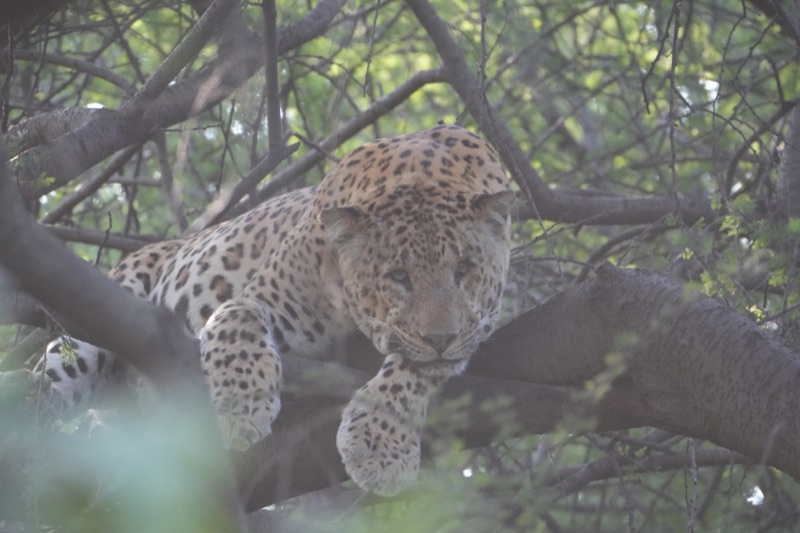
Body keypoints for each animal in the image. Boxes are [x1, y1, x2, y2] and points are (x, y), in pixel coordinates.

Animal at [35, 124, 514, 496]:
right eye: (399, 276)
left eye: (464, 269)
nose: (440, 338)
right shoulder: (258, 298)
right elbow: (237, 320)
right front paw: (238, 406)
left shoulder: (477, 326)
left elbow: (410, 373)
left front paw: (380, 445)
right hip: (88, 325)